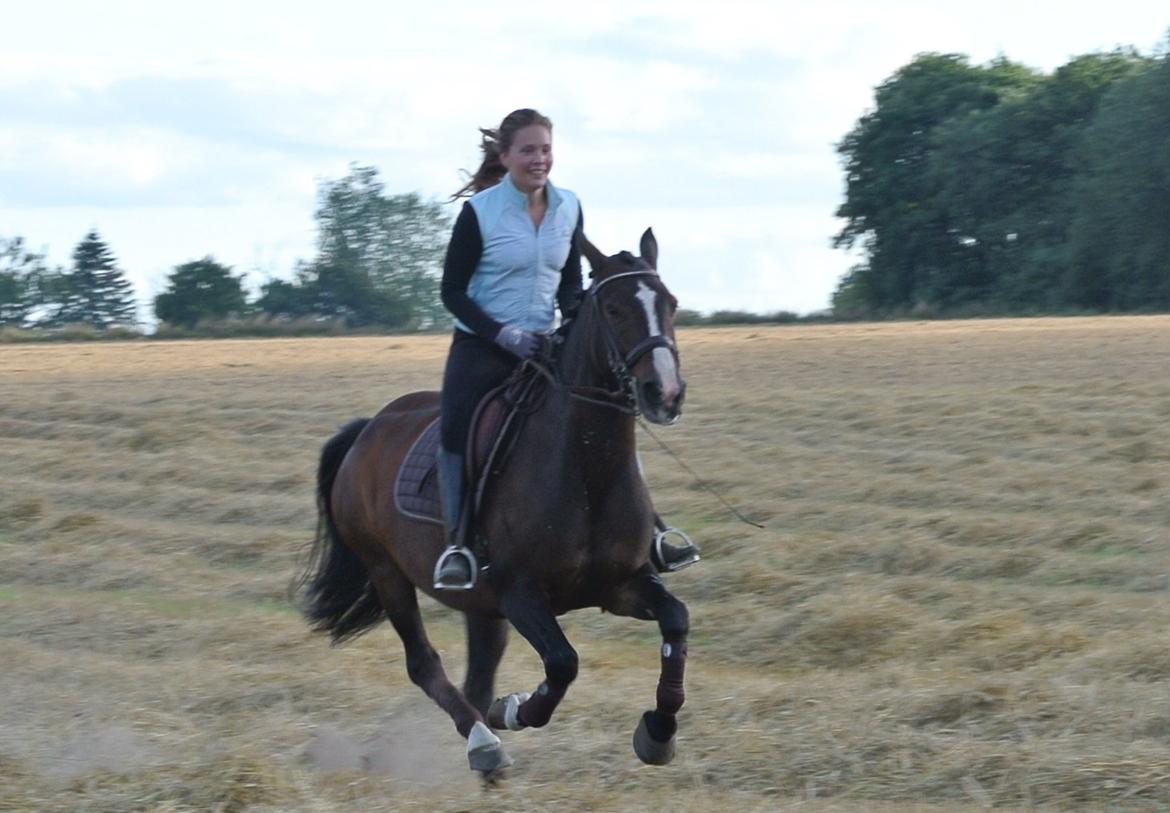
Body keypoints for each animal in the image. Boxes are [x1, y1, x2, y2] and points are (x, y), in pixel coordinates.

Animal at [297, 229, 687, 776]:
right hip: (388, 573)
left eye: (670, 303)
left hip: (479, 608)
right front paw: (516, 710)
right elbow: (563, 663)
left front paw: (658, 732)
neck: (587, 472)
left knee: (476, 678)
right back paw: (482, 740)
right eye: (612, 308)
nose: (665, 393)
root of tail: (366, 430)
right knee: (425, 664)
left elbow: (677, 620)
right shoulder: (520, 595)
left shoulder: (621, 585)